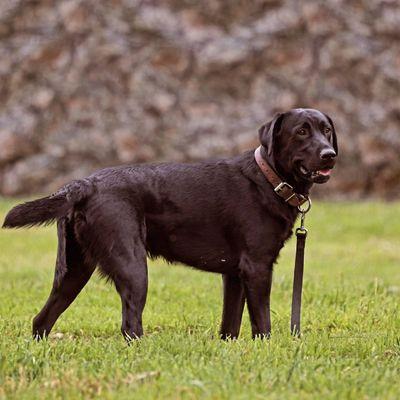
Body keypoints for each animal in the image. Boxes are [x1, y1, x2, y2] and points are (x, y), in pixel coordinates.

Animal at [3, 107, 338, 340]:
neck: (268, 179)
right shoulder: (257, 268)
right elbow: (262, 324)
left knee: (41, 319)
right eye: (301, 132)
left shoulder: (234, 275)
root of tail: (83, 184)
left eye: (326, 131)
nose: (330, 155)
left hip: (74, 271)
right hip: (133, 268)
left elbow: (230, 325)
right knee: (130, 325)